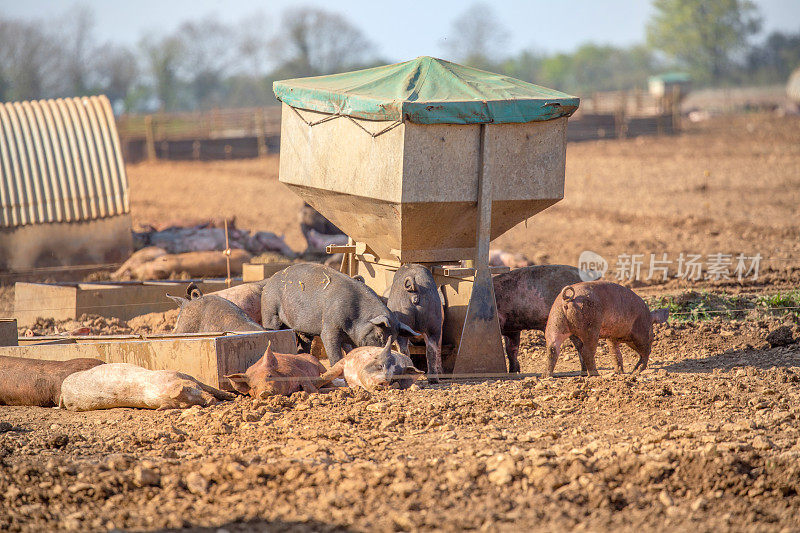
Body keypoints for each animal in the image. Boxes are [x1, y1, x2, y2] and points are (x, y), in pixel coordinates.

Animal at [59, 362, 236, 412]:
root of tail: (62, 390)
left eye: (189, 389)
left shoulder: (183, 375)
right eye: (186, 404)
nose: (210, 402)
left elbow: (209, 387)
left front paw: (232, 397)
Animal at [260, 262, 418, 366]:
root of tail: (271, 279)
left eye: (393, 338)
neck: (357, 316)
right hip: (270, 310)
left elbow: (350, 350)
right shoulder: (330, 327)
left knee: (304, 341)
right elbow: (333, 350)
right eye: (379, 334)